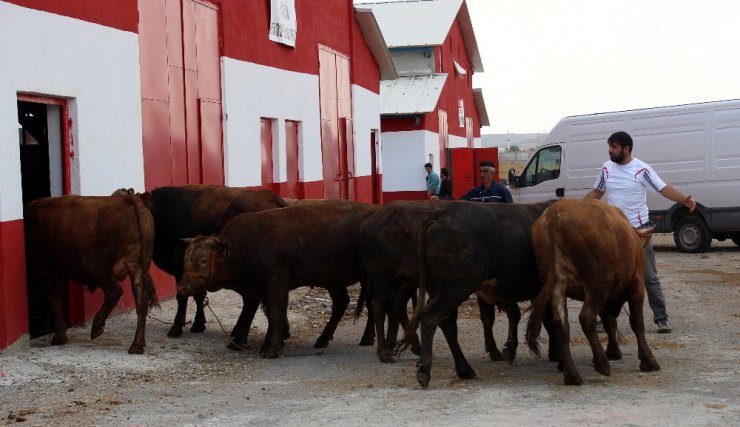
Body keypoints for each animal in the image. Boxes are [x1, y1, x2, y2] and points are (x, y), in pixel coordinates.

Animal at [24, 194, 157, 354]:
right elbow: (51, 301)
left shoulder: (43, 269)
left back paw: (97, 327)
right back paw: (137, 345)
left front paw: (58, 336)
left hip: (95, 267)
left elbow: (53, 299)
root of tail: (130, 200)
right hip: (136, 266)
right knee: (141, 301)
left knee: (114, 291)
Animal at [177, 201, 378, 358]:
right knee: (342, 302)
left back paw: (367, 337)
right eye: (185, 258)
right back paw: (323, 338)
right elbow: (252, 313)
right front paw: (239, 342)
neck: (244, 246)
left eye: (203, 260)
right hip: (333, 280)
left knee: (371, 303)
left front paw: (271, 348)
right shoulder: (256, 288)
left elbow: (275, 313)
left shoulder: (276, 282)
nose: (182, 288)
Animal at [524, 199, 660, 386]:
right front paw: (648, 359)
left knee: (561, 325)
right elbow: (636, 323)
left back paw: (572, 374)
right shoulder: (636, 286)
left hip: (559, 285)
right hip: (597, 284)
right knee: (586, 318)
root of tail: (556, 214)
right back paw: (601, 363)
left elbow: (610, 322)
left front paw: (613, 351)